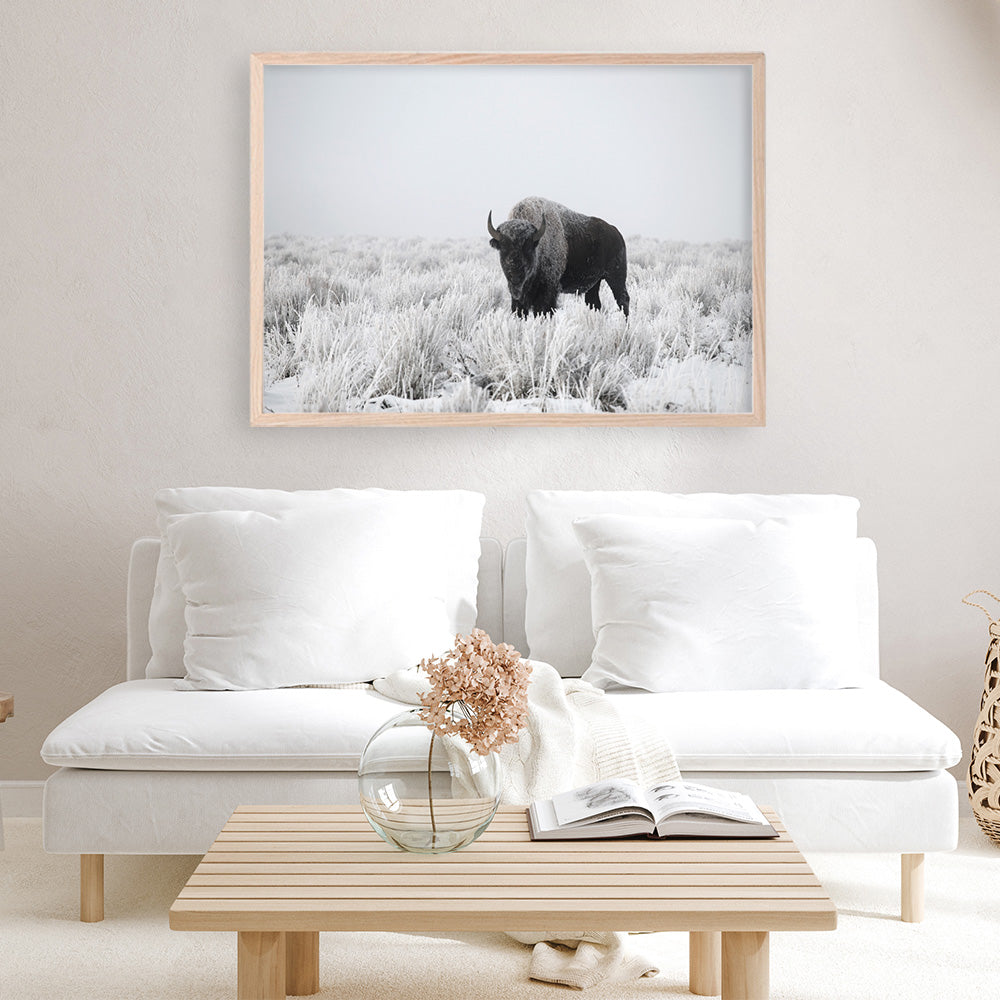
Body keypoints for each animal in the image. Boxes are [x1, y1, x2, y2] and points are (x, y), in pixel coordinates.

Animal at [487, 196, 629, 319]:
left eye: (528, 248)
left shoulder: (548, 291)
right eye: (503, 248)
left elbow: (544, 311)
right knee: (594, 303)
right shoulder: (519, 298)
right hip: (595, 282)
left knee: (623, 300)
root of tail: (616, 233)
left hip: (616, 277)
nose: (515, 275)